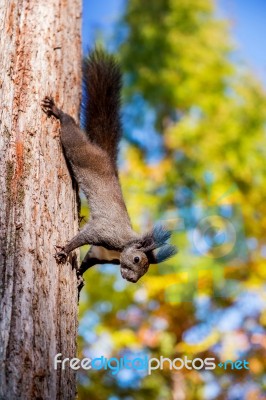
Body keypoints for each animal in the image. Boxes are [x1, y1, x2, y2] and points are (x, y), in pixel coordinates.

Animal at [41, 48, 177, 284]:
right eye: (137, 260)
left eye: (145, 270)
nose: (132, 280)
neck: (121, 247)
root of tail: (103, 153)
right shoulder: (104, 232)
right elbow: (82, 238)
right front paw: (65, 250)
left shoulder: (101, 253)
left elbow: (88, 261)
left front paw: (79, 278)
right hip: (80, 150)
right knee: (70, 131)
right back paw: (59, 112)